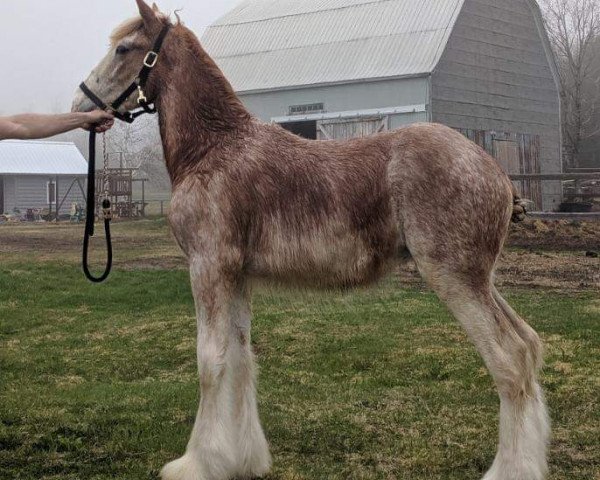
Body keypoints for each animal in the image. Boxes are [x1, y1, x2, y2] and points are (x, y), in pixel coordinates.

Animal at [72, 1, 552, 478]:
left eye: (124, 49)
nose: (81, 103)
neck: (215, 149)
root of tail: (496, 172)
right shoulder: (236, 277)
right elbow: (241, 359)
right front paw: (243, 459)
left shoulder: (207, 268)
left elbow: (210, 361)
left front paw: (197, 462)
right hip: (482, 281)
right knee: (528, 347)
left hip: (454, 279)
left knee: (509, 360)